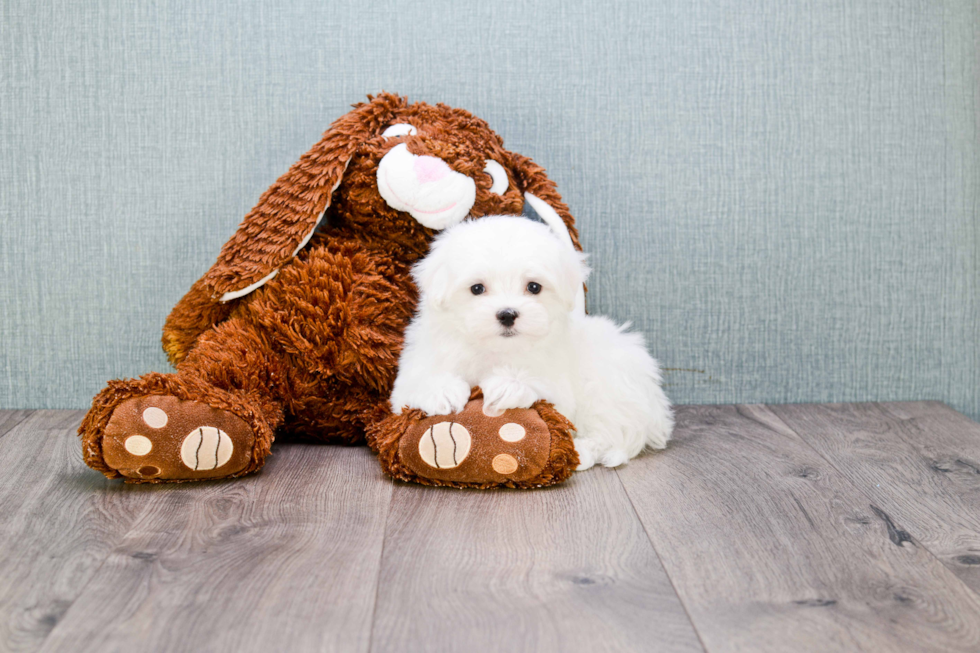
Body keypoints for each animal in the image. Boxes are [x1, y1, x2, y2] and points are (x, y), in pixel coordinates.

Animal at [390, 216, 672, 466]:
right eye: (477, 288)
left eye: (534, 287)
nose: (507, 314)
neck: (495, 349)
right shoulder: (417, 366)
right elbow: (414, 384)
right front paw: (441, 390)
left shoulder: (559, 384)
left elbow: (544, 388)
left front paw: (508, 385)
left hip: (610, 386)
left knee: (611, 432)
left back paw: (581, 451)